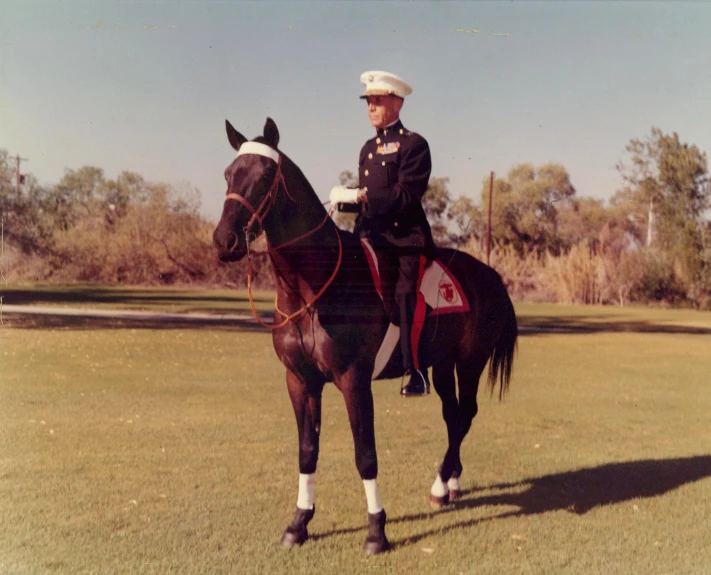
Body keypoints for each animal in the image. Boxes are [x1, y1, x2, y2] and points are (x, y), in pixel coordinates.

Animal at [211, 117, 516, 552]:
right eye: (228, 174)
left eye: (267, 174)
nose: (225, 241)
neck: (314, 285)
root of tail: (490, 275)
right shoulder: (300, 380)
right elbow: (307, 451)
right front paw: (299, 523)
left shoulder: (354, 380)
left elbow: (365, 454)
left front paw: (376, 530)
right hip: (442, 366)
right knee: (453, 415)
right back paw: (448, 484)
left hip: (471, 363)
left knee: (466, 414)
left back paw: (441, 485)